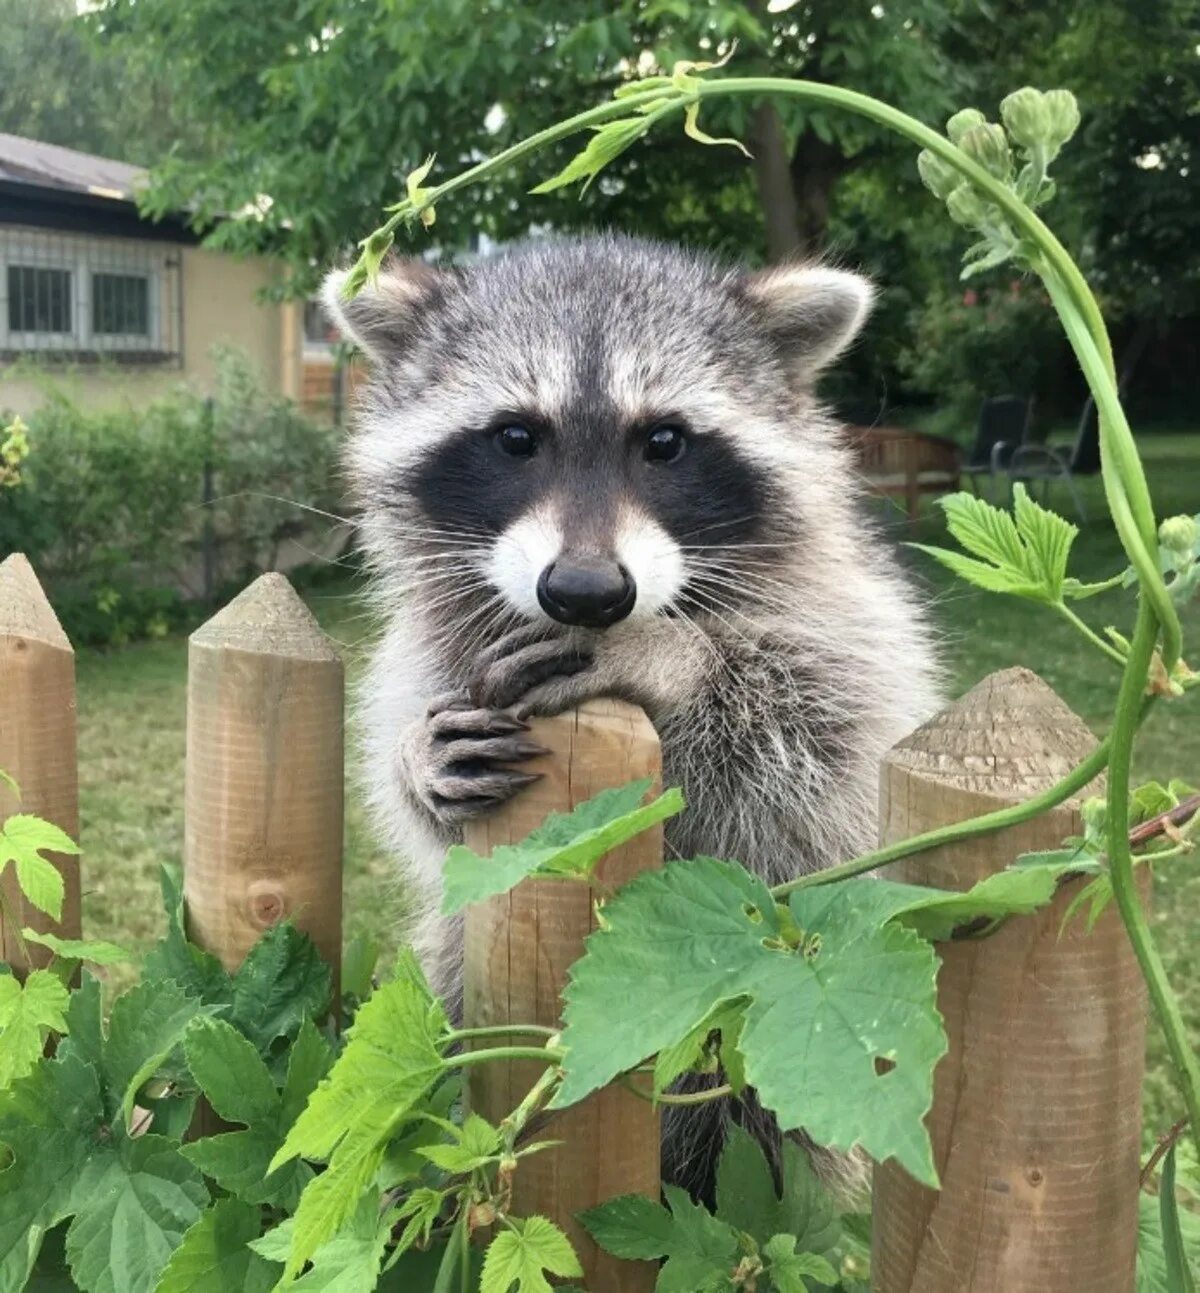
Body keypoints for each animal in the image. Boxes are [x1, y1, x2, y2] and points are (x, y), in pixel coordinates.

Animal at [323, 232, 941, 1189]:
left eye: (665, 441)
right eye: (515, 437)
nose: (585, 592)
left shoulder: (851, 613)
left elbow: (828, 748)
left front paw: (674, 662)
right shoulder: (439, 646)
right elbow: (428, 820)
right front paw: (414, 762)